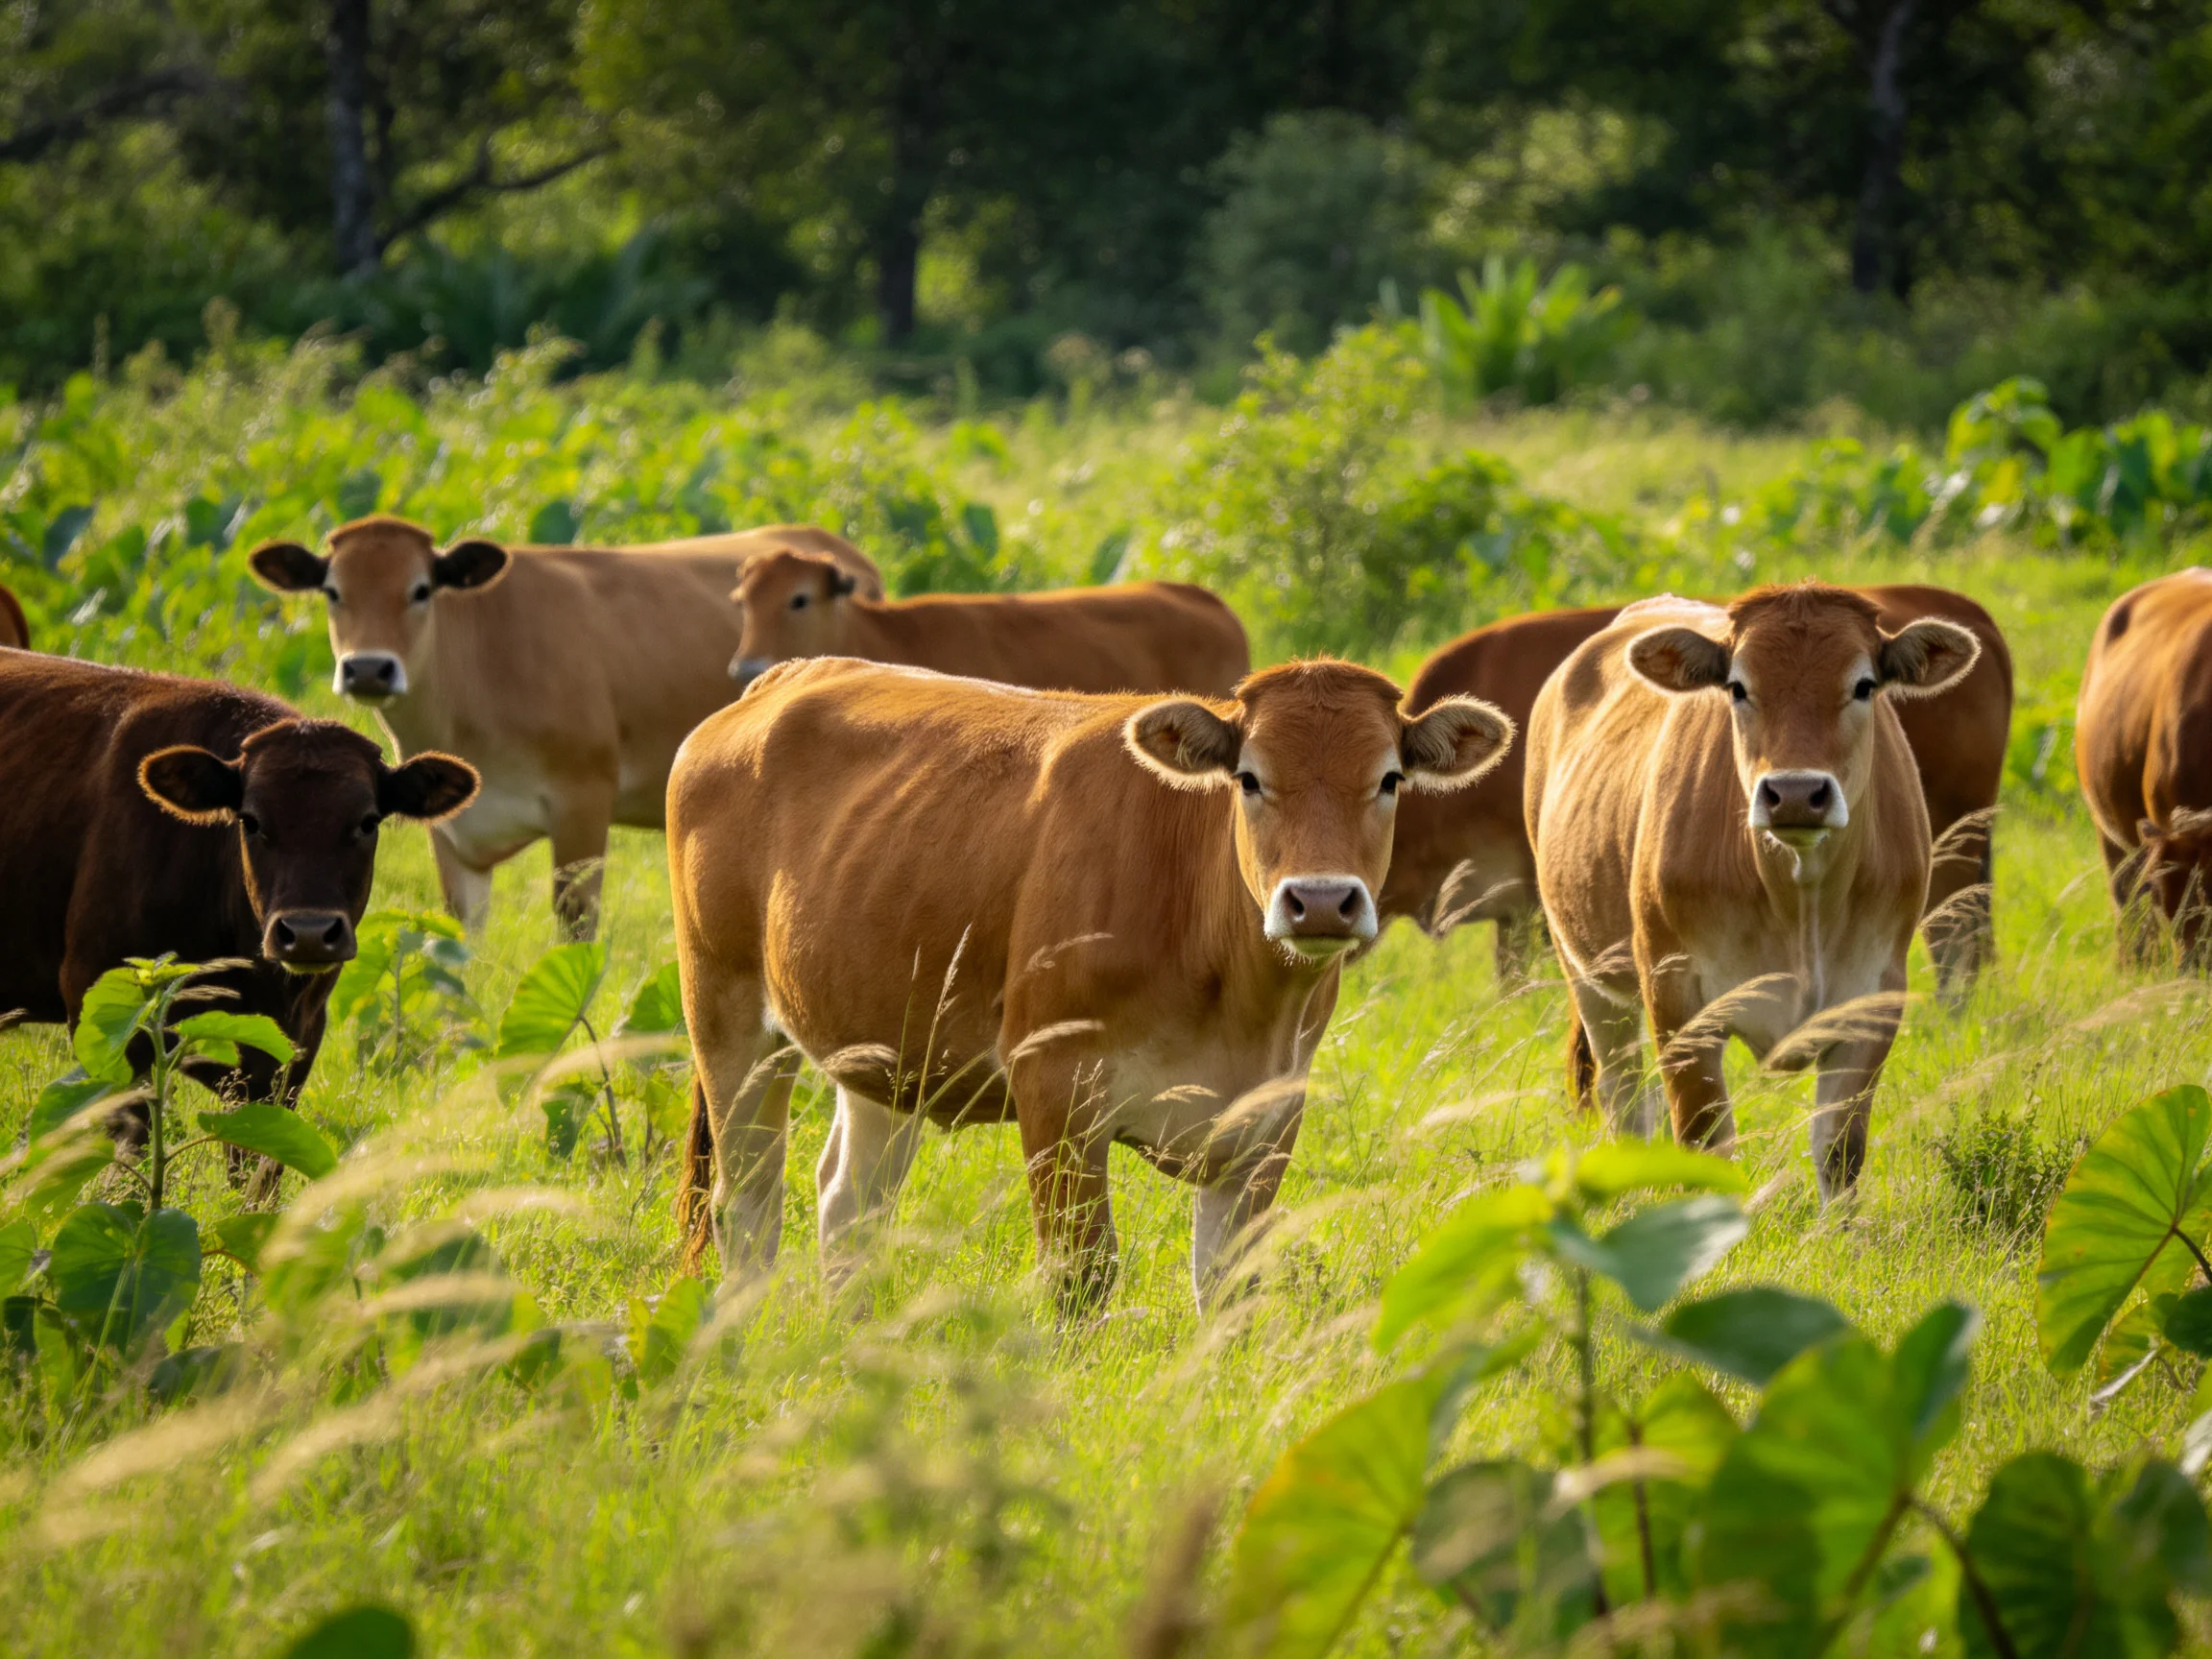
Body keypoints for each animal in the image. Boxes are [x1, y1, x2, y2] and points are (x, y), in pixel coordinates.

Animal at [248, 515, 882, 936]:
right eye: (333, 591)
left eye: (421, 590)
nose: (368, 667)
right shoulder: (452, 835)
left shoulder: (583, 801)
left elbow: (575, 928)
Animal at [668, 657, 1512, 1312]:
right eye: (1249, 778)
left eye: (1390, 778)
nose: (1323, 899)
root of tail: (788, 676)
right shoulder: (1055, 1086)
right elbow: (1082, 1276)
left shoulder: (1269, 1115)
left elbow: (1228, 1287)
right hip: (728, 1016)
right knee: (747, 1204)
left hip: (885, 1045)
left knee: (852, 1204)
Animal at [1524, 584, 1979, 1199]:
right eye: (1738, 687)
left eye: (1864, 685)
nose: (1796, 792)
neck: (1799, 900)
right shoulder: (1676, 996)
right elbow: (1703, 1145)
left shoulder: (1873, 999)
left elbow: (1839, 1150)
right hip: (1589, 973)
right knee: (1626, 1106)